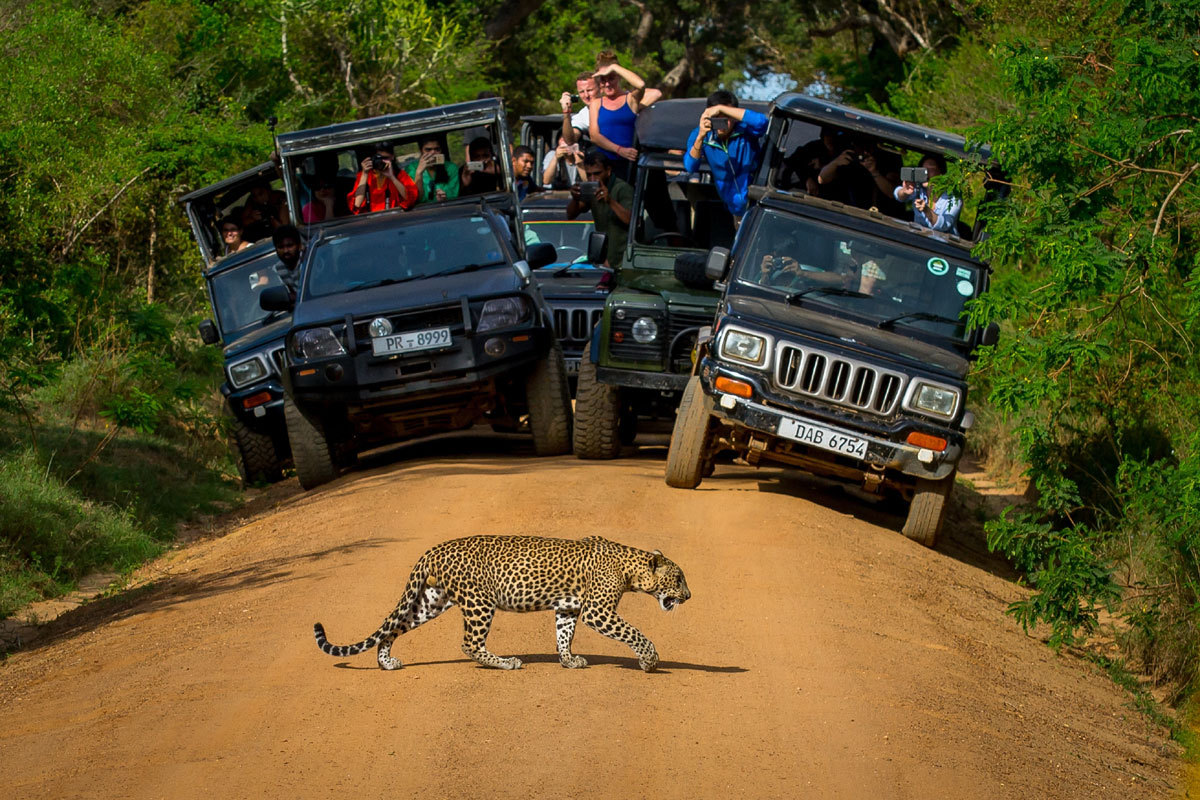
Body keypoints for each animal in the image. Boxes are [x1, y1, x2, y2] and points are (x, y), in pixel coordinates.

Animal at [314, 534, 691, 671]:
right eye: (679, 578)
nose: (689, 596)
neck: (631, 569)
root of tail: (433, 549)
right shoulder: (598, 612)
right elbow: (634, 633)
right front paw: (649, 660)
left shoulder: (568, 607)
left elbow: (564, 635)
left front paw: (568, 661)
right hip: (480, 602)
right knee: (469, 643)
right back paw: (506, 663)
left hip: (431, 600)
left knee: (393, 627)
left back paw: (387, 662)